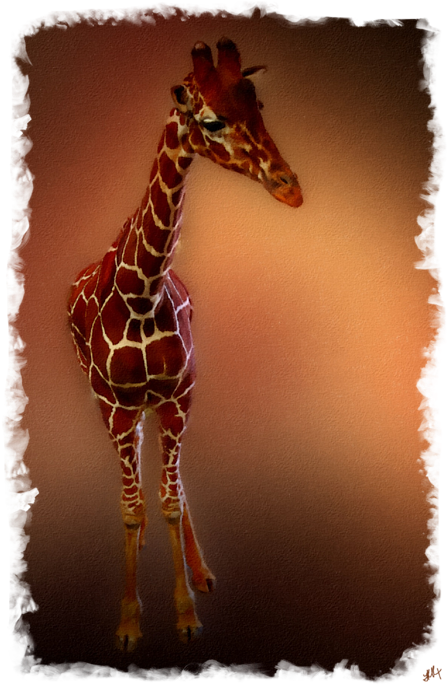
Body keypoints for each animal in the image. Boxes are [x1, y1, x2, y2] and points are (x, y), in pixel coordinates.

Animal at [68, 37, 302, 651]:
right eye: (211, 120)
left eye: (259, 105)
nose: (291, 190)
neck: (141, 291)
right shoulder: (118, 405)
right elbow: (130, 508)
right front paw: (129, 622)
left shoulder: (178, 396)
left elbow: (173, 499)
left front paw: (187, 611)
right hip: (110, 403)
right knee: (132, 485)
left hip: (166, 403)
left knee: (173, 481)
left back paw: (199, 570)